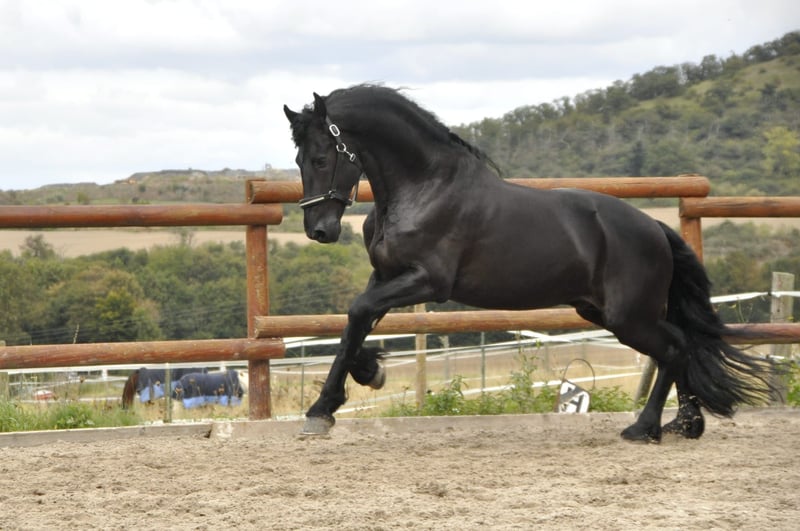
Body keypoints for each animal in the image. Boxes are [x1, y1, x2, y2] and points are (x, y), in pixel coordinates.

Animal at [283, 84, 778, 442]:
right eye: (298, 159)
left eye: (322, 158)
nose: (319, 230)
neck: (425, 187)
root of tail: (656, 229)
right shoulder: (386, 275)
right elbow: (355, 324)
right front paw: (358, 382)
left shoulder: (428, 281)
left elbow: (358, 313)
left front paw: (330, 404)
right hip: (603, 312)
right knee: (683, 346)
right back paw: (685, 424)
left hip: (628, 317)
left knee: (675, 348)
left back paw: (646, 428)